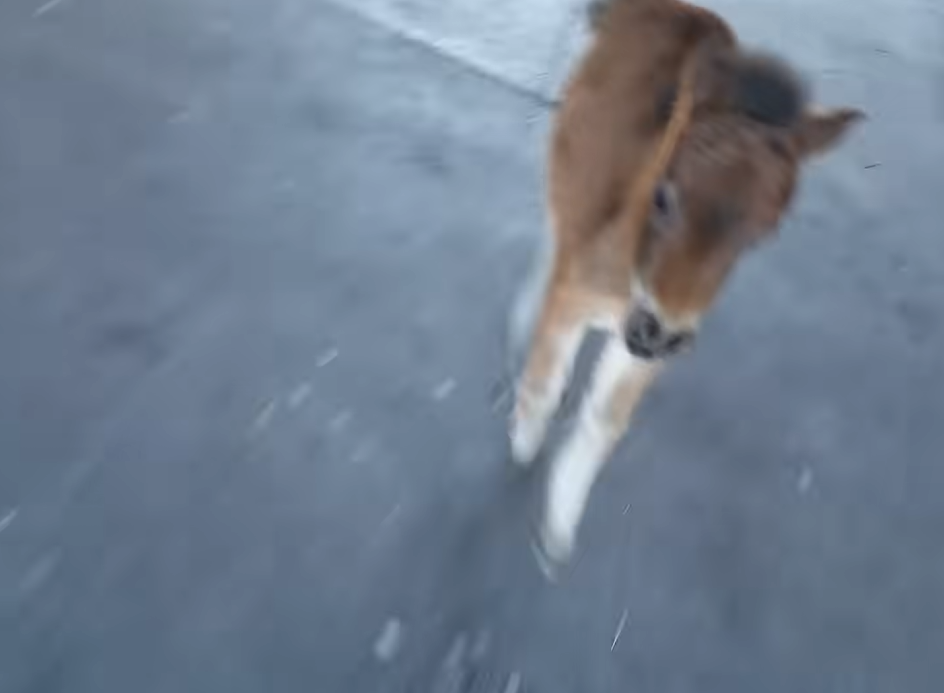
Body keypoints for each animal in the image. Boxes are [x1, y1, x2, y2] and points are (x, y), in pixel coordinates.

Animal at [507, 0, 863, 571]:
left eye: (764, 233)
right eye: (662, 195)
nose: (659, 331)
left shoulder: (650, 348)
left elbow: (605, 420)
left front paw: (559, 523)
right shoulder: (583, 297)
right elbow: (547, 374)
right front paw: (524, 438)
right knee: (554, 229)